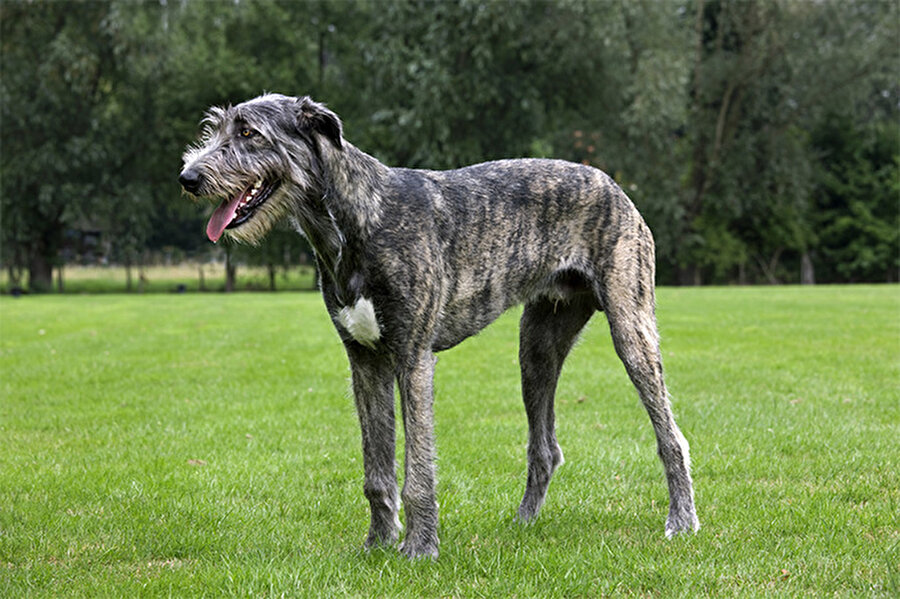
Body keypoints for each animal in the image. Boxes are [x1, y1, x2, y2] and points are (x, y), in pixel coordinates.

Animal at [179, 92, 700, 556]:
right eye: (216, 127)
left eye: (249, 133)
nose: (188, 177)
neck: (358, 220)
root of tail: (612, 183)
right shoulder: (364, 361)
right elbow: (377, 469)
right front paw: (377, 544)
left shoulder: (412, 358)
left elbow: (418, 470)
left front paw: (419, 548)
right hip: (537, 346)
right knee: (545, 448)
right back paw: (523, 522)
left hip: (631, 328)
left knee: (670, 435)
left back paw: (682, 520)